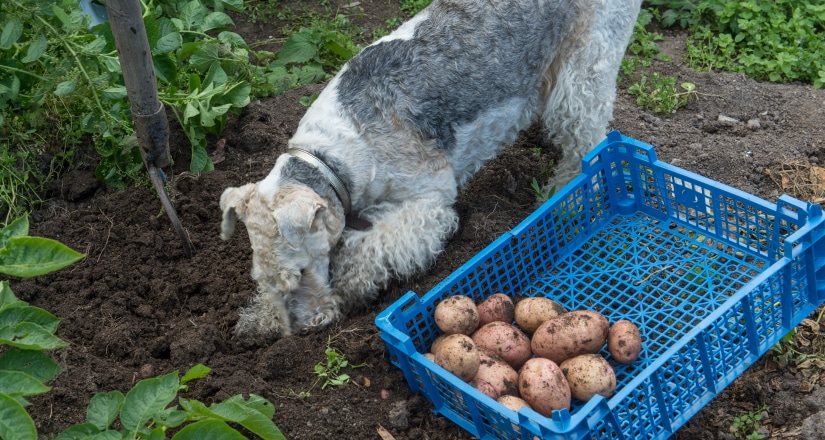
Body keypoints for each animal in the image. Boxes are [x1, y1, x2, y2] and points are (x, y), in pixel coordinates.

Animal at [217, 0, 636, 344]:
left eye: (303, 272)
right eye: (261, 277)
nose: (305, 327)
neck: (331, 157)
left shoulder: (429, 202)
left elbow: (369, 248)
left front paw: (351, 286)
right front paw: (258, 320)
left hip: (586, 74)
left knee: (586, 144)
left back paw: (567, 199)